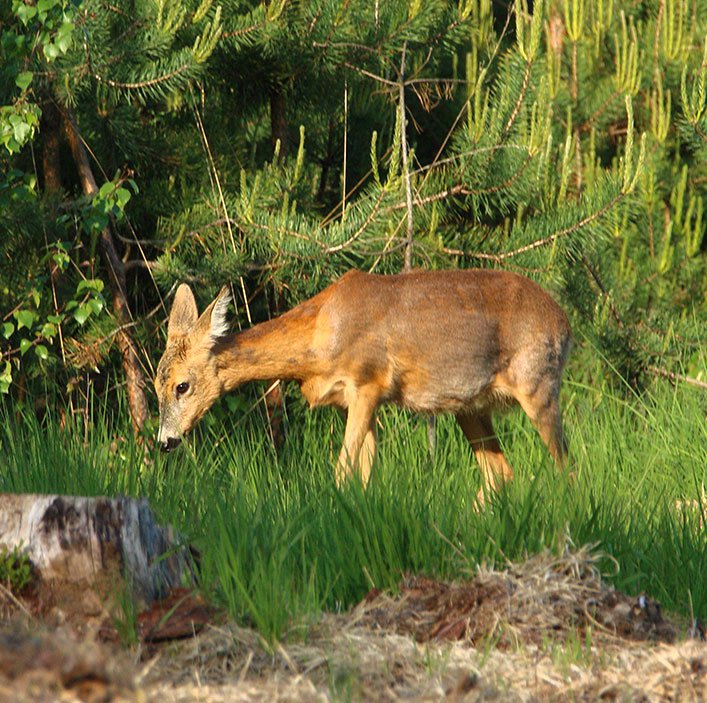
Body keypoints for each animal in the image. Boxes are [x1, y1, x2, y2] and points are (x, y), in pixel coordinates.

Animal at [156, 266, 576, 504]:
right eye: (157, 386)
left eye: (182, 386)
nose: (164, 441)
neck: (319, 338)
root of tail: (564, 322)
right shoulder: (357, 400)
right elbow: (363, 475)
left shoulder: (367, 382)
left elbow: (342, 472)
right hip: (470, 409)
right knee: (500, 473)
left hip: (539, 385)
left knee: (565, 469)